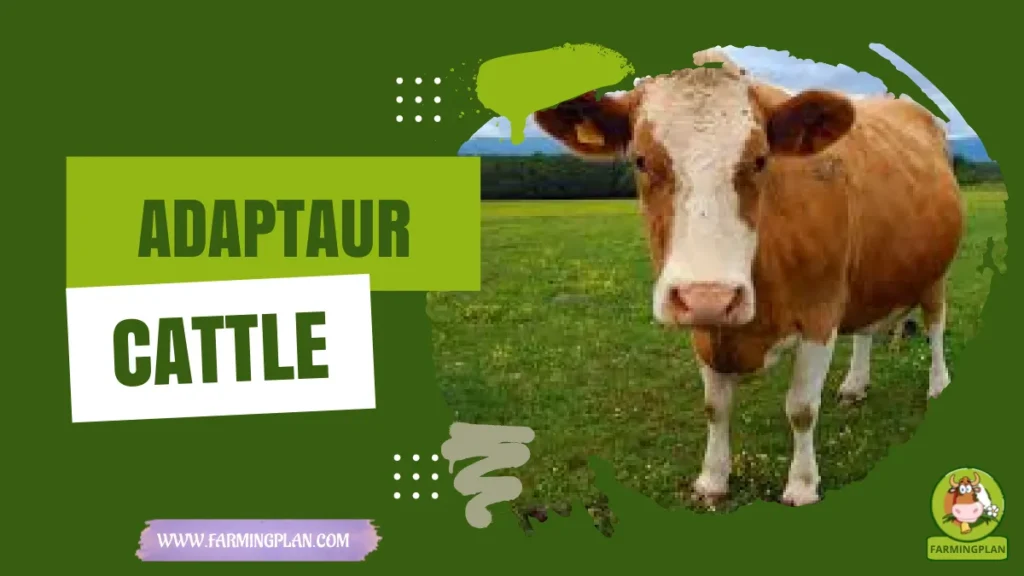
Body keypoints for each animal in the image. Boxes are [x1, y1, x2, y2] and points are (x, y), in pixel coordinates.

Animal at [533, 50, 964, 507]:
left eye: (760, 160)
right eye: (640, 160)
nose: (709, 296)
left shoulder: (819, 313)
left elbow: (801, 409)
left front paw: (802, 485)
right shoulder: (705, 329)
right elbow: (715, 407)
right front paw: (712, 479)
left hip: (935, 272)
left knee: (936, 325)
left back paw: (939, 385)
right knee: (866, 329)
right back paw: (855, 384)